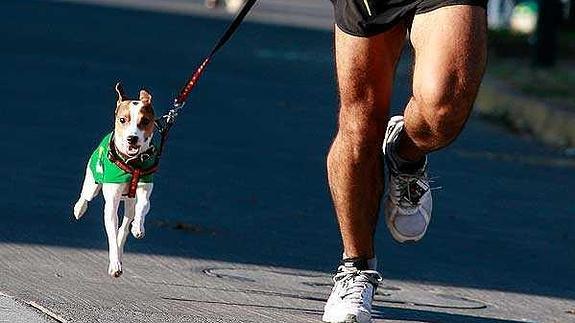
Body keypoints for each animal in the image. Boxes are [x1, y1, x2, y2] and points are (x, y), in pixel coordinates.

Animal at [75, 83, 159, 278]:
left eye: (145, 121)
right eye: (122, 119)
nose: (132, 138)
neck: (132, 163)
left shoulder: (144, 189)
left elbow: (143, 206)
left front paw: (138, 228)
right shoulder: (111, 206)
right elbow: (112, 235)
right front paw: (114, 265)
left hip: (129, 202)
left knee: (125, 224)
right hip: (92, 182)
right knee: (86, 195)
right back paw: (79, 209)